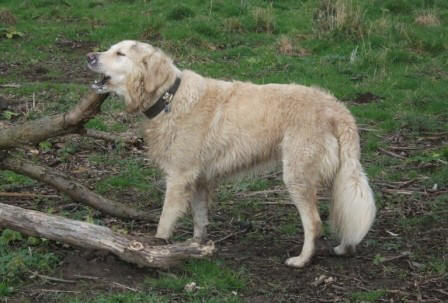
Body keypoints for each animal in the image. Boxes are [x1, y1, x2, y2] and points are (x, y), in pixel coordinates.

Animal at [86, 40, 374, 268]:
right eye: (110, 49)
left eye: (120, 53)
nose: (89, 56)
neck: (169, 97)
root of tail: (336, 107)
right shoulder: (198, 180)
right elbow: (200, 219)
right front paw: (194, 248)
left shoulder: (178, 178)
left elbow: (165, 220)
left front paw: (157, 248)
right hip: (335, 177)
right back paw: (344, 247)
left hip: (296, 176)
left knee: (314, 223)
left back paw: (302, 260)